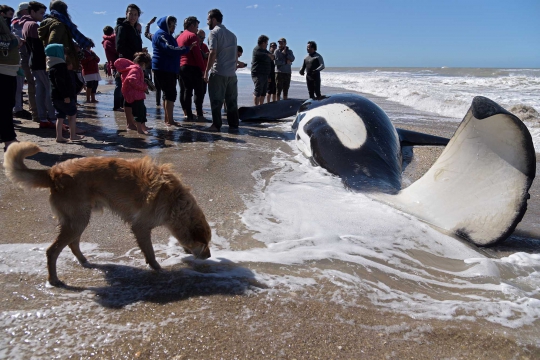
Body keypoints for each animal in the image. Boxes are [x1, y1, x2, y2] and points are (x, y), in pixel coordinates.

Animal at [3, 142, 211, 286]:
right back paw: (53, 279)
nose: (209, 256)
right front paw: (158, 269)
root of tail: (53, 172)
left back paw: (84, 261)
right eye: (205, 244)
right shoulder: (141, 227)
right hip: (78, 220)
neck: (175, 201)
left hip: (78, 220)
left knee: (72, 243)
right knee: (52, 251)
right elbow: (150, 253)